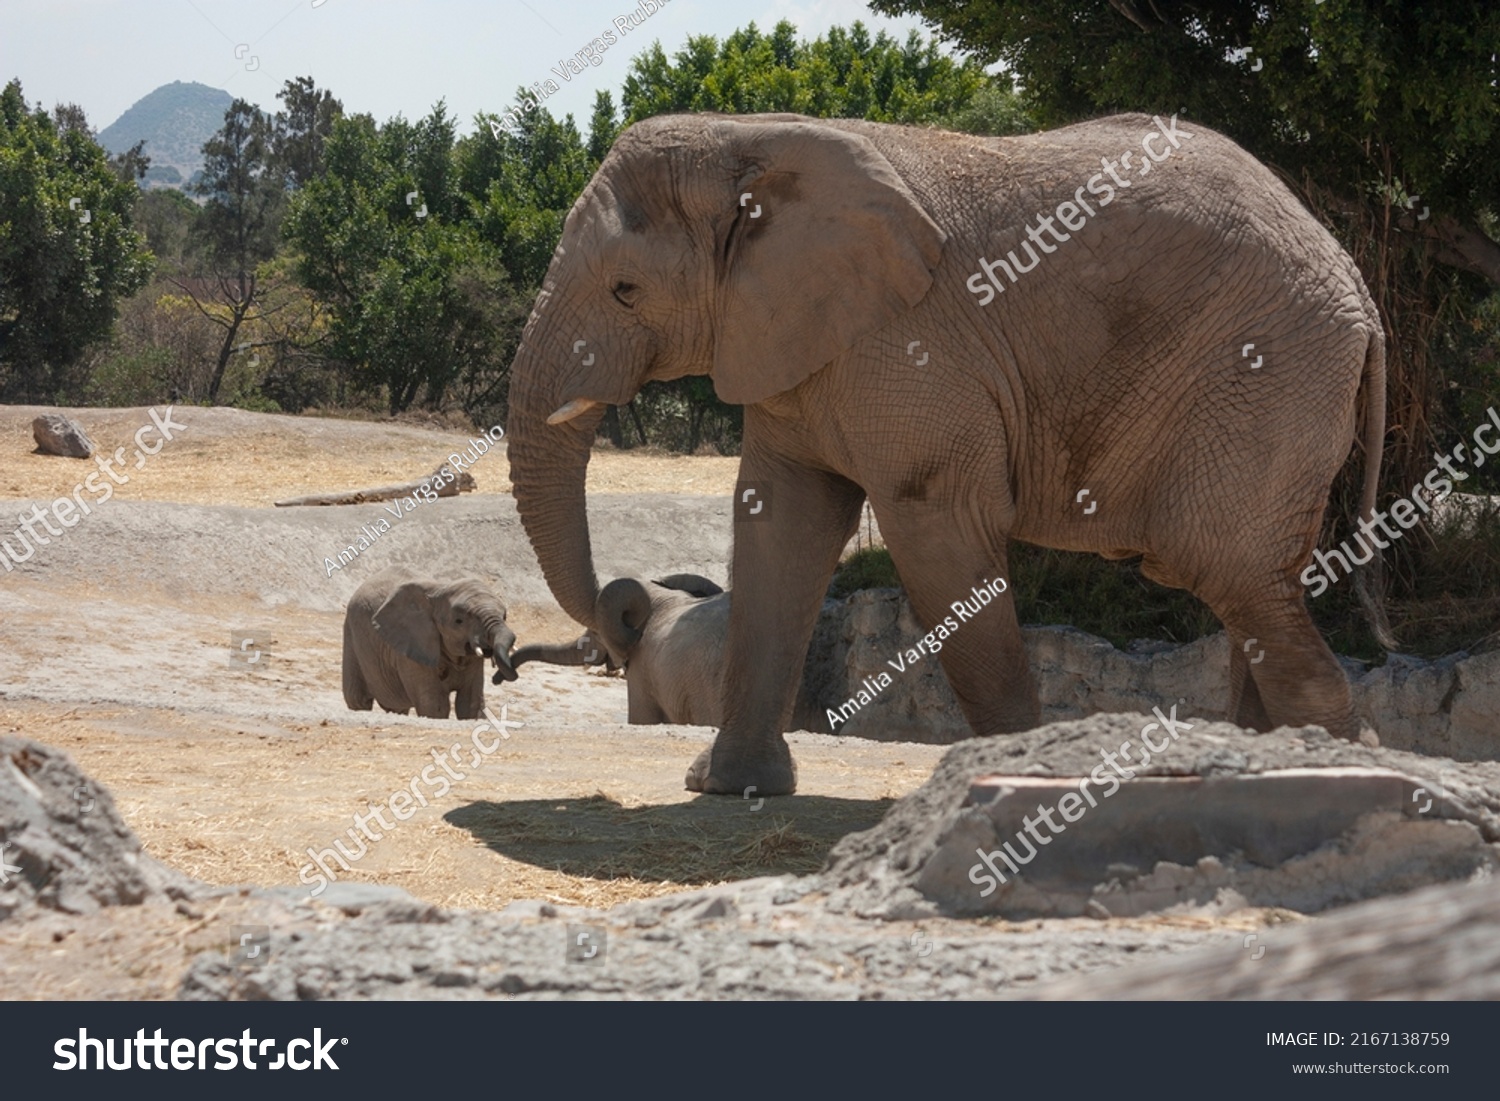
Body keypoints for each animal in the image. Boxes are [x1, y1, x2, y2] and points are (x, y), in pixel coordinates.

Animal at [343, 570, 519, 726]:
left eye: (505, 616)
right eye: (459, 621)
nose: (498, 677)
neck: (440, 590)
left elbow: (469, 704)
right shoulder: (413, 645)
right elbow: (435, 706)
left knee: (397, 708)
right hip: (351, 634)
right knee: (357, 699)